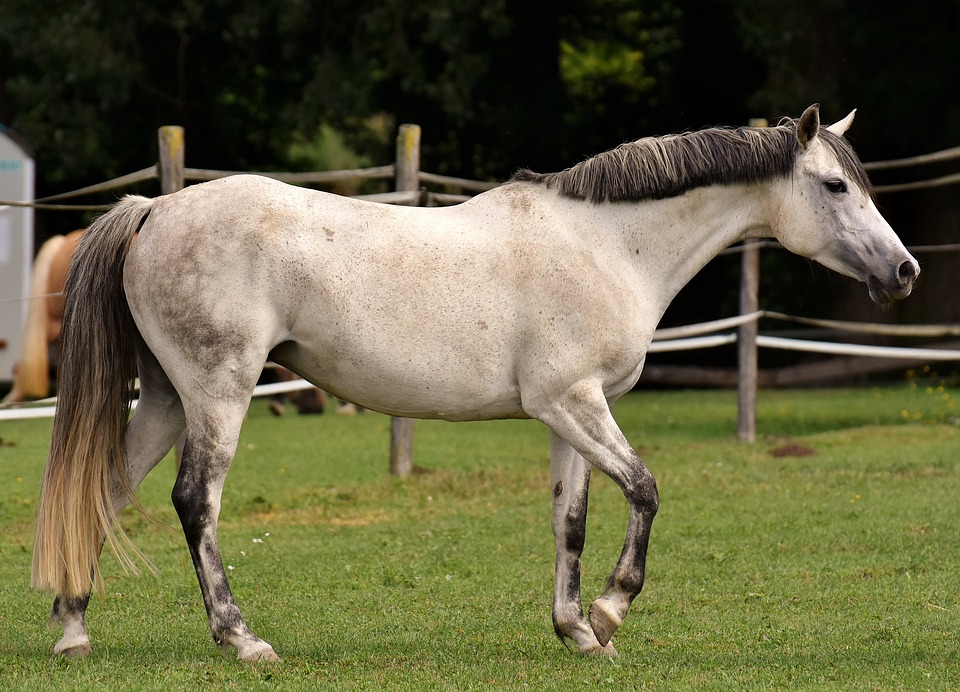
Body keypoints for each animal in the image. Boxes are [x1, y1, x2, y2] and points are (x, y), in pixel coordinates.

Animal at [31, 104, 916, 660]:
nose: (904, 271)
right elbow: (645, 490)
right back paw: (241, 639)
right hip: (218, 394)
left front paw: (576, 631)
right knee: (195, 502)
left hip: (167, 398)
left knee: (104, 492)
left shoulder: (570, 412)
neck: (606, 244)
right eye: (835, 186)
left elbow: (571, 520)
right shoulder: (573, 402)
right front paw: (611, 609)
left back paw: (73, 630)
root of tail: (154, 210)